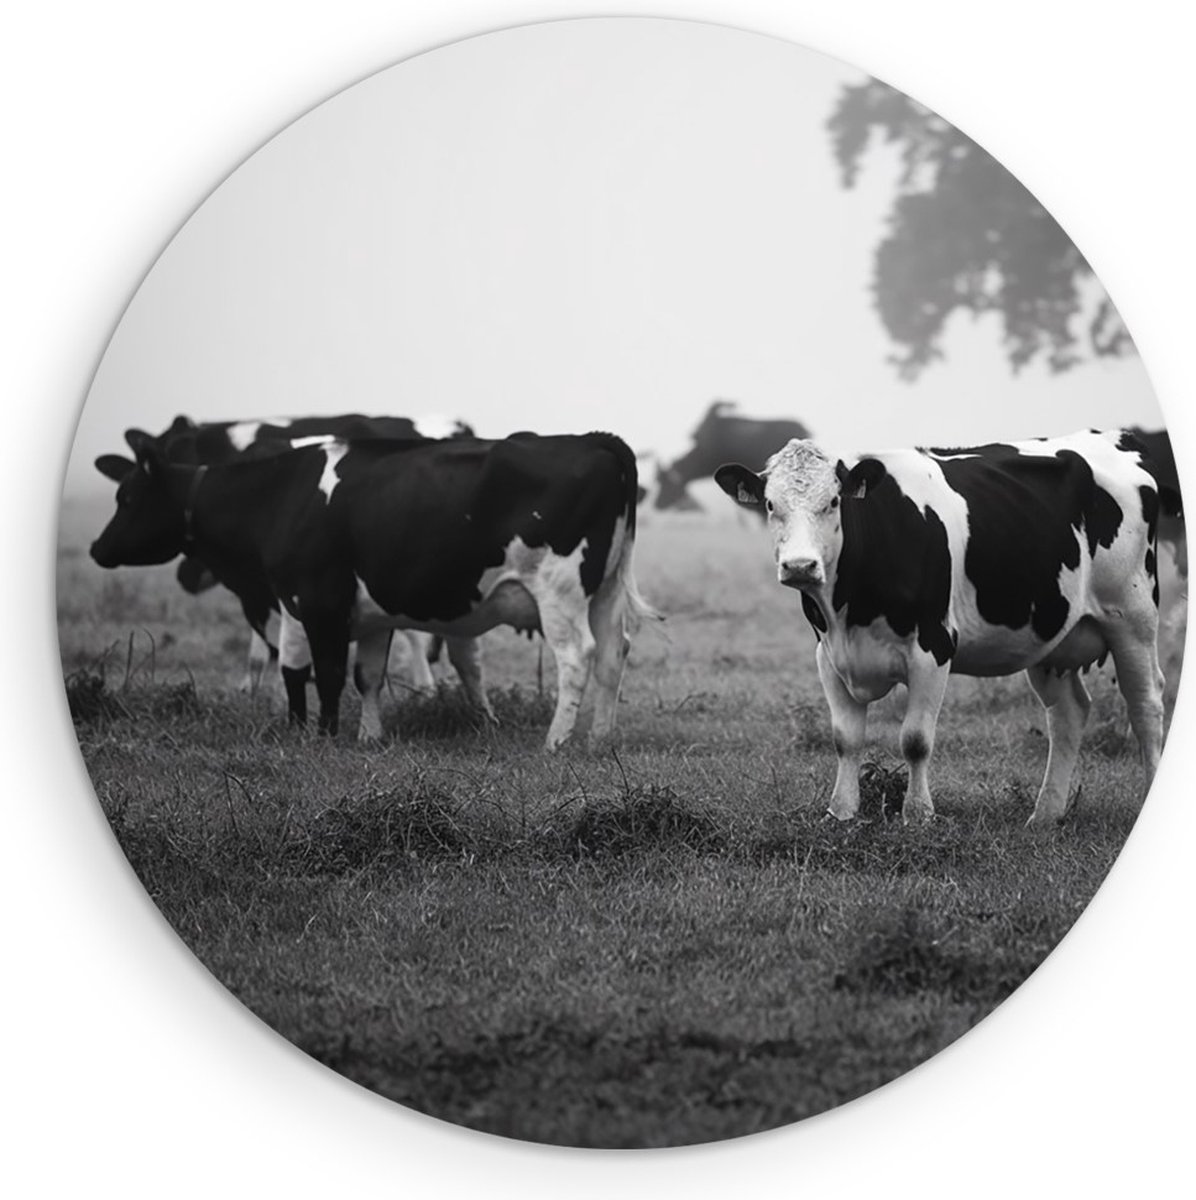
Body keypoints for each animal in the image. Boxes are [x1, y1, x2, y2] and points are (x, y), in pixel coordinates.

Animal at [90, 431, 654, 748]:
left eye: (127, 496)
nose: (97, 547)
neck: (280, 494)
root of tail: (595, 438)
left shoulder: (313, 599)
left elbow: (316, 671)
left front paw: (319, 736)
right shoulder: (366, 613)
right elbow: (365, 675)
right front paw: (368, 736)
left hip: (559, 590)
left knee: (577, 657)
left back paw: (556, 742)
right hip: (605, 591)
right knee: (613, 653)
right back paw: (599, 739)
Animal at [715, 431, 1166, 828]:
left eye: (833, 501)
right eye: (770, 504)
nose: (799, 566)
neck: (850, 614)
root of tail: (1115, 437)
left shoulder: (933, 648)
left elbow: (915, 740)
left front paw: (918, 815)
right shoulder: (828, 655)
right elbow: (845, 738)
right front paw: (840, 813)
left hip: (1133, 617)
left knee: (1146, 705)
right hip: (1054, 633)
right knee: (1069, 713)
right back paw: (1044, 816)